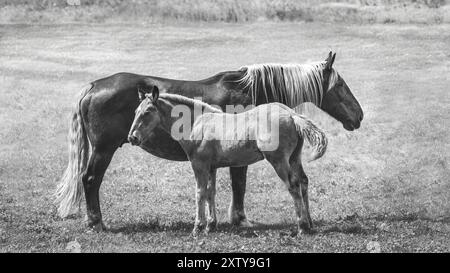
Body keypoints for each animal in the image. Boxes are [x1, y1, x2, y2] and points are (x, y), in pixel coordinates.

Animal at [128, 87, 328, 234]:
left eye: (147, 112)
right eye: (136, 111)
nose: (132, 138)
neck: (196, 123)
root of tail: (292, 115)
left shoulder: (199, 165)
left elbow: (200, 192)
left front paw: (197, 227)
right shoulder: (212, 167)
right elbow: (211, 192)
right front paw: (210, 225)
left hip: (278, 160)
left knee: (293, 185)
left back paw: (302, 226)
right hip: (294, 158)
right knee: (303, 181)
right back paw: (310, 223)